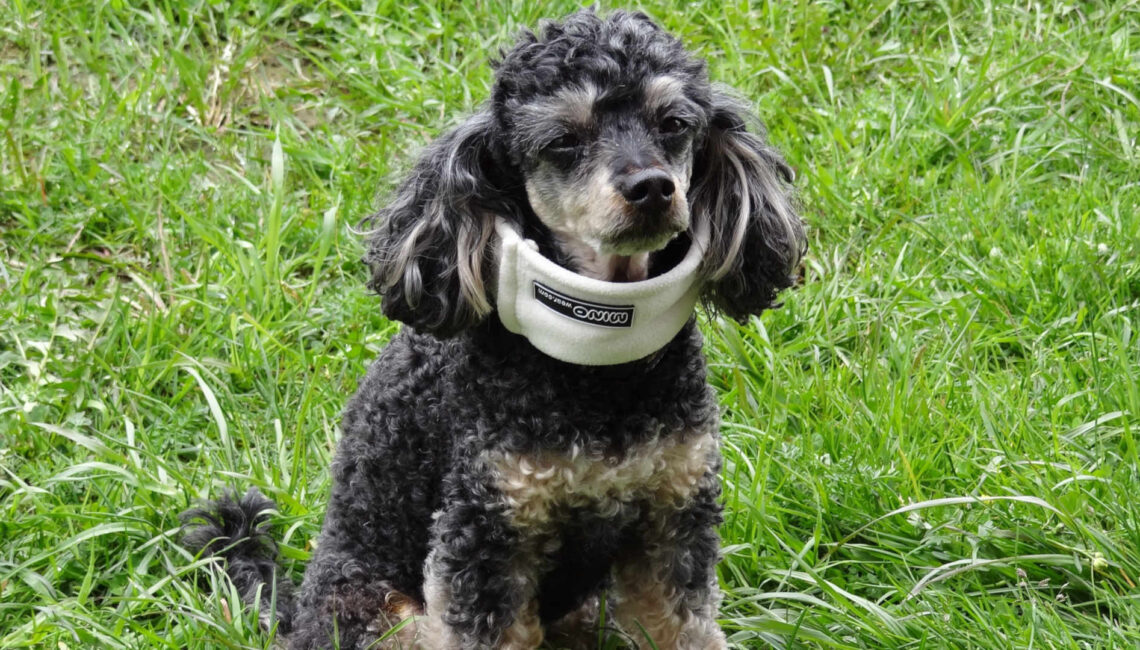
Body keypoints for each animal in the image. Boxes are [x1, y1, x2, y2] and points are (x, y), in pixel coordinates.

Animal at [182, 10, 807, 647]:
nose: (653, 186)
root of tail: (296, 614)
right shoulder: (485, 533)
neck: (599, 369)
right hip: (380, 614)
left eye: (675, 124)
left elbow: (684, 624)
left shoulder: (672, 519)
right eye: (564, 140)